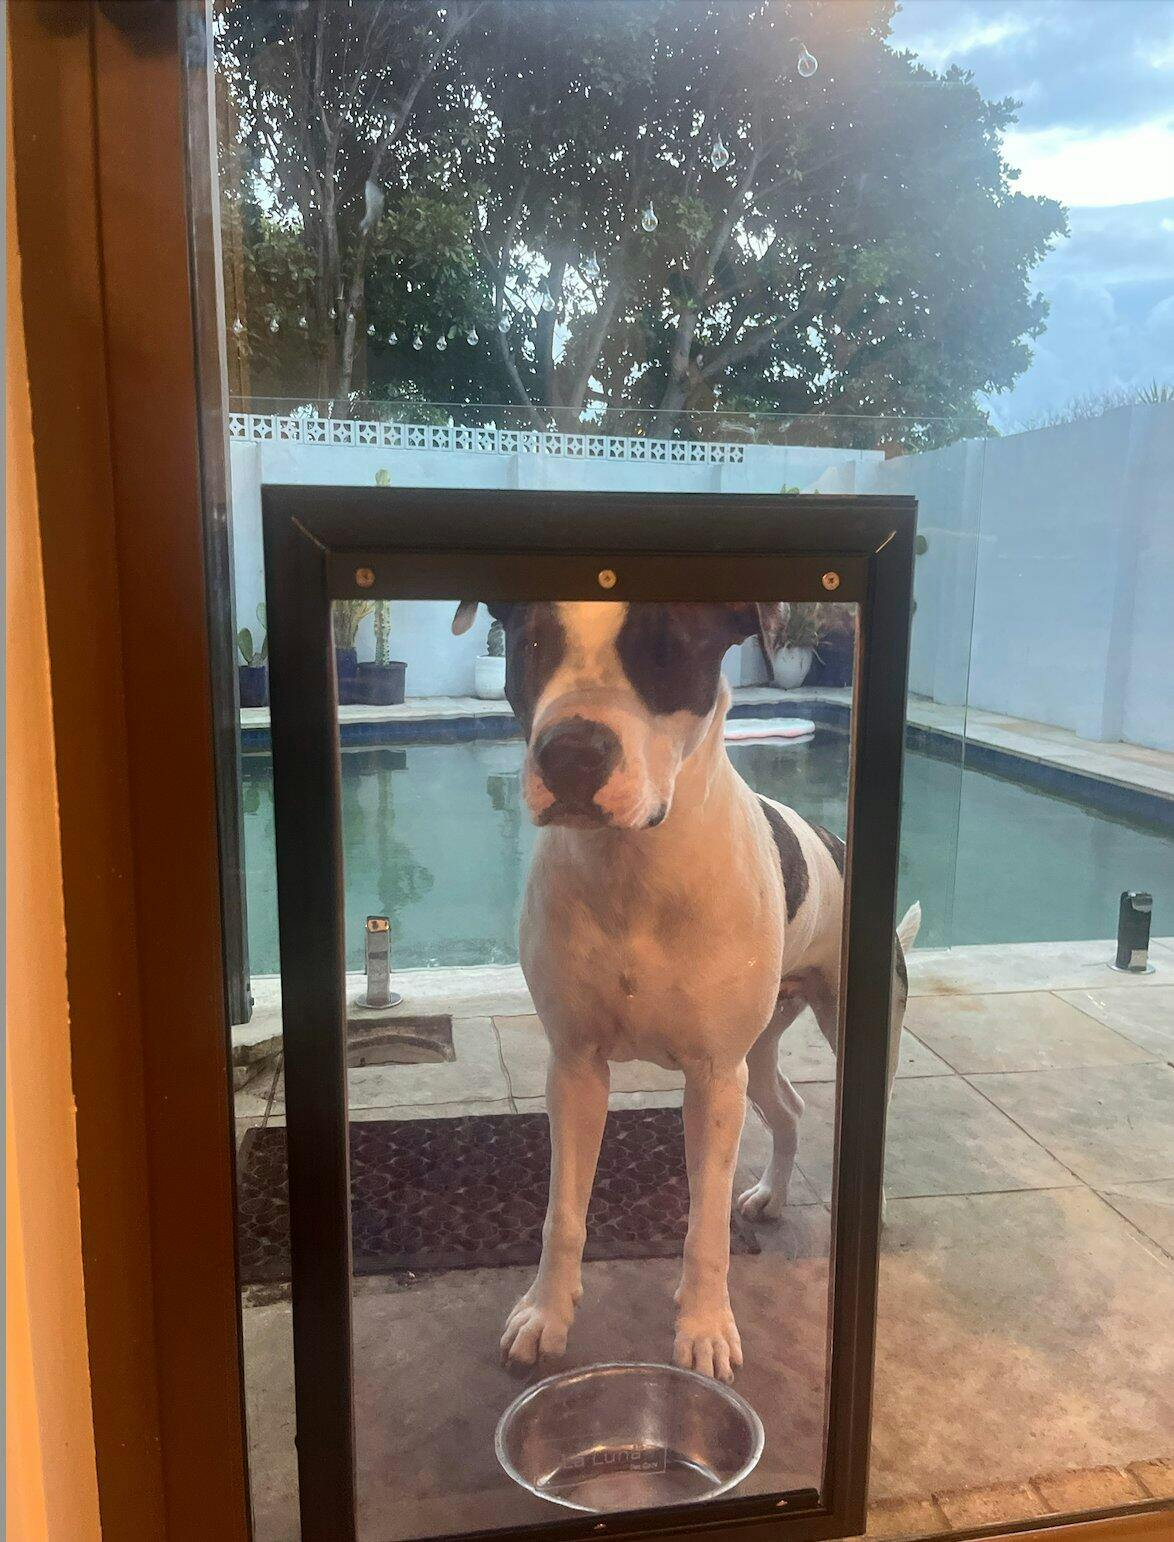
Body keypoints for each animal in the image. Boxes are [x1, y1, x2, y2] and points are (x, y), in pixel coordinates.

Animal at [452, 599, 919, 1383]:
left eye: (666, 649)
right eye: (533, 642)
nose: (572, 753)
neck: (634, 868)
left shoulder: (712, 1078)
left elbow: (704, 1228)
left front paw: (703, 1331)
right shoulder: (575, 1067)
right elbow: (563, 1212)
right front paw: (546, 1315)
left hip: (845, 1042)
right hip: (758, 1050)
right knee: (788, 1108)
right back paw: (769, 1195)